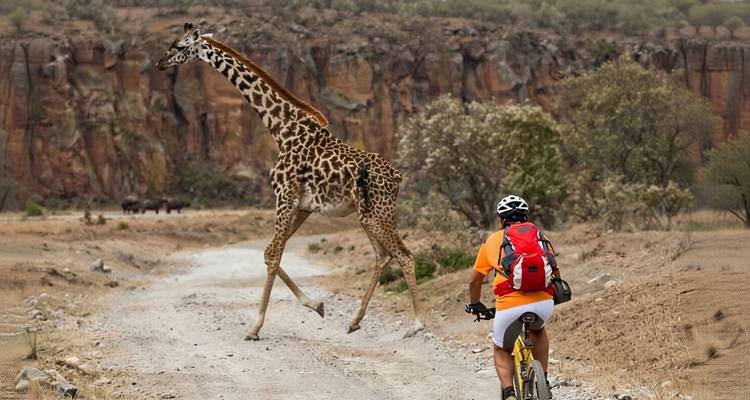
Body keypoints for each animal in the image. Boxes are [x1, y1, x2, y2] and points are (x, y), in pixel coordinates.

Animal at [156, 23, 424, 340]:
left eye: (180, 46)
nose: (160, 63)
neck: (280, 128)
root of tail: (397, 176)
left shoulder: (284, 195)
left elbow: (273, 255)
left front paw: (255, 326)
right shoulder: (303, 205)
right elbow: (269, 251)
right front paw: (317, 305)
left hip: (378, 214)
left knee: (404, 255)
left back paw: (417, 324)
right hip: (367, 215)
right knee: (383, 256)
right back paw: (355, 320)